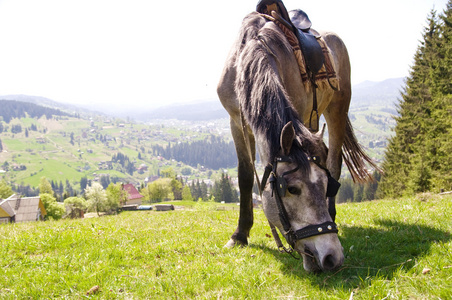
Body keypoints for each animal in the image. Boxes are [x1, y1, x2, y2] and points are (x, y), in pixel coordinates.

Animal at [217, 8, 376, 272]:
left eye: (328, 185)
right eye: (292, 189)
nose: (331, 257)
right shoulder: (236, 123)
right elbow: (245, 176)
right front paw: (239, 235)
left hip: (337, 107)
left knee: (333, 160)